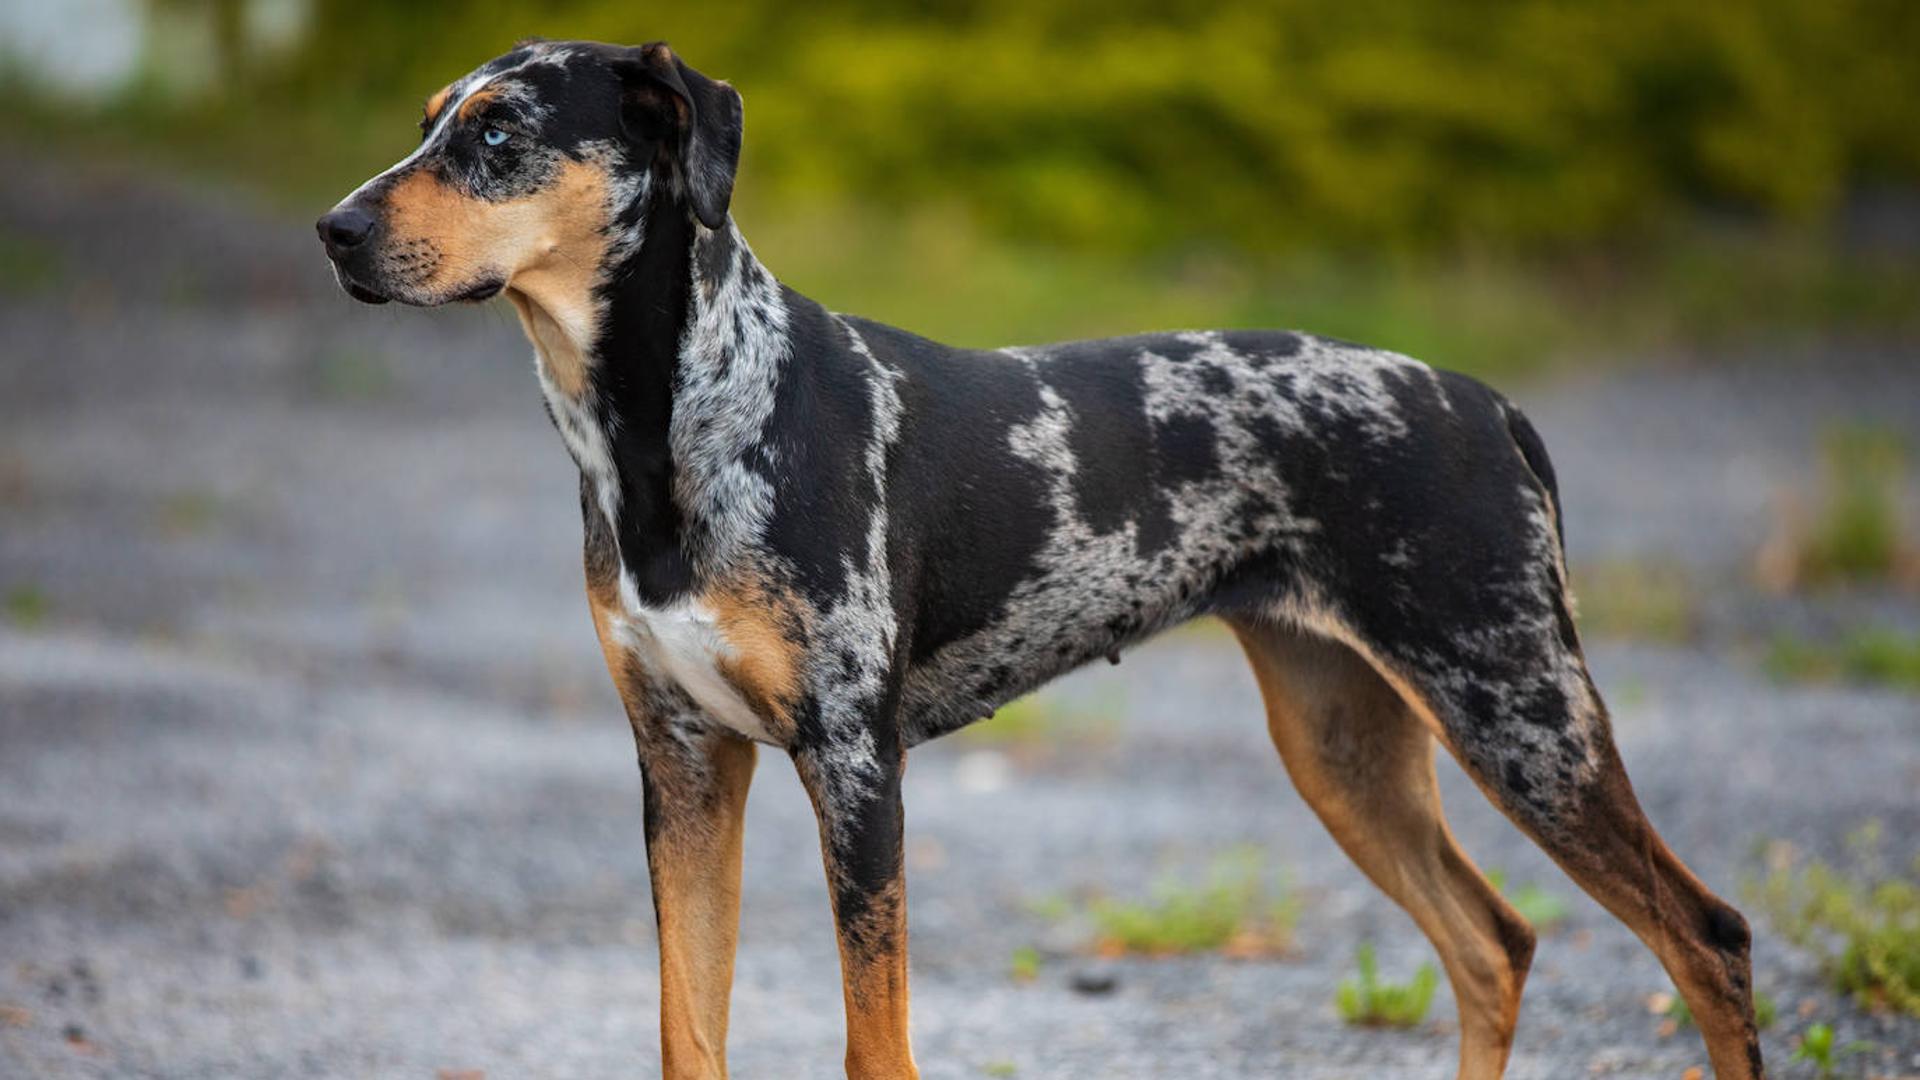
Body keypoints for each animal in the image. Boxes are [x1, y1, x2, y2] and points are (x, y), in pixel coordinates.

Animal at [318, 37, 1766, 1068]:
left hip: (1519, 713)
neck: (674, 420)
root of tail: (1484, 403)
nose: (332, 231)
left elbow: (874, 1041)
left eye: (499, 131)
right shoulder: (683, 764)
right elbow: (689, 1028)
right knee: (1491, 946)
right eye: (430, 117)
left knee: (1708, 940)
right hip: (1345, 738)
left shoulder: (858, 770)